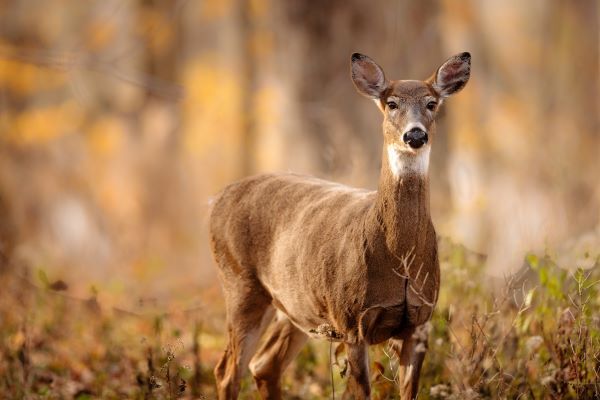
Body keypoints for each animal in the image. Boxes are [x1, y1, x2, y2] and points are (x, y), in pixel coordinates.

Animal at [209, 51, 472, 398]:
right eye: (392, 103)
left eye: (432, 103)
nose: (415, 135)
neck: (398, 258)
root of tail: (217, 199)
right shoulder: (351, 321)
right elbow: (362, 392)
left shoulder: (420, 322)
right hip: (240, 285)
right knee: (227, 371)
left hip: (296, 306)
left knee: (264, 365)